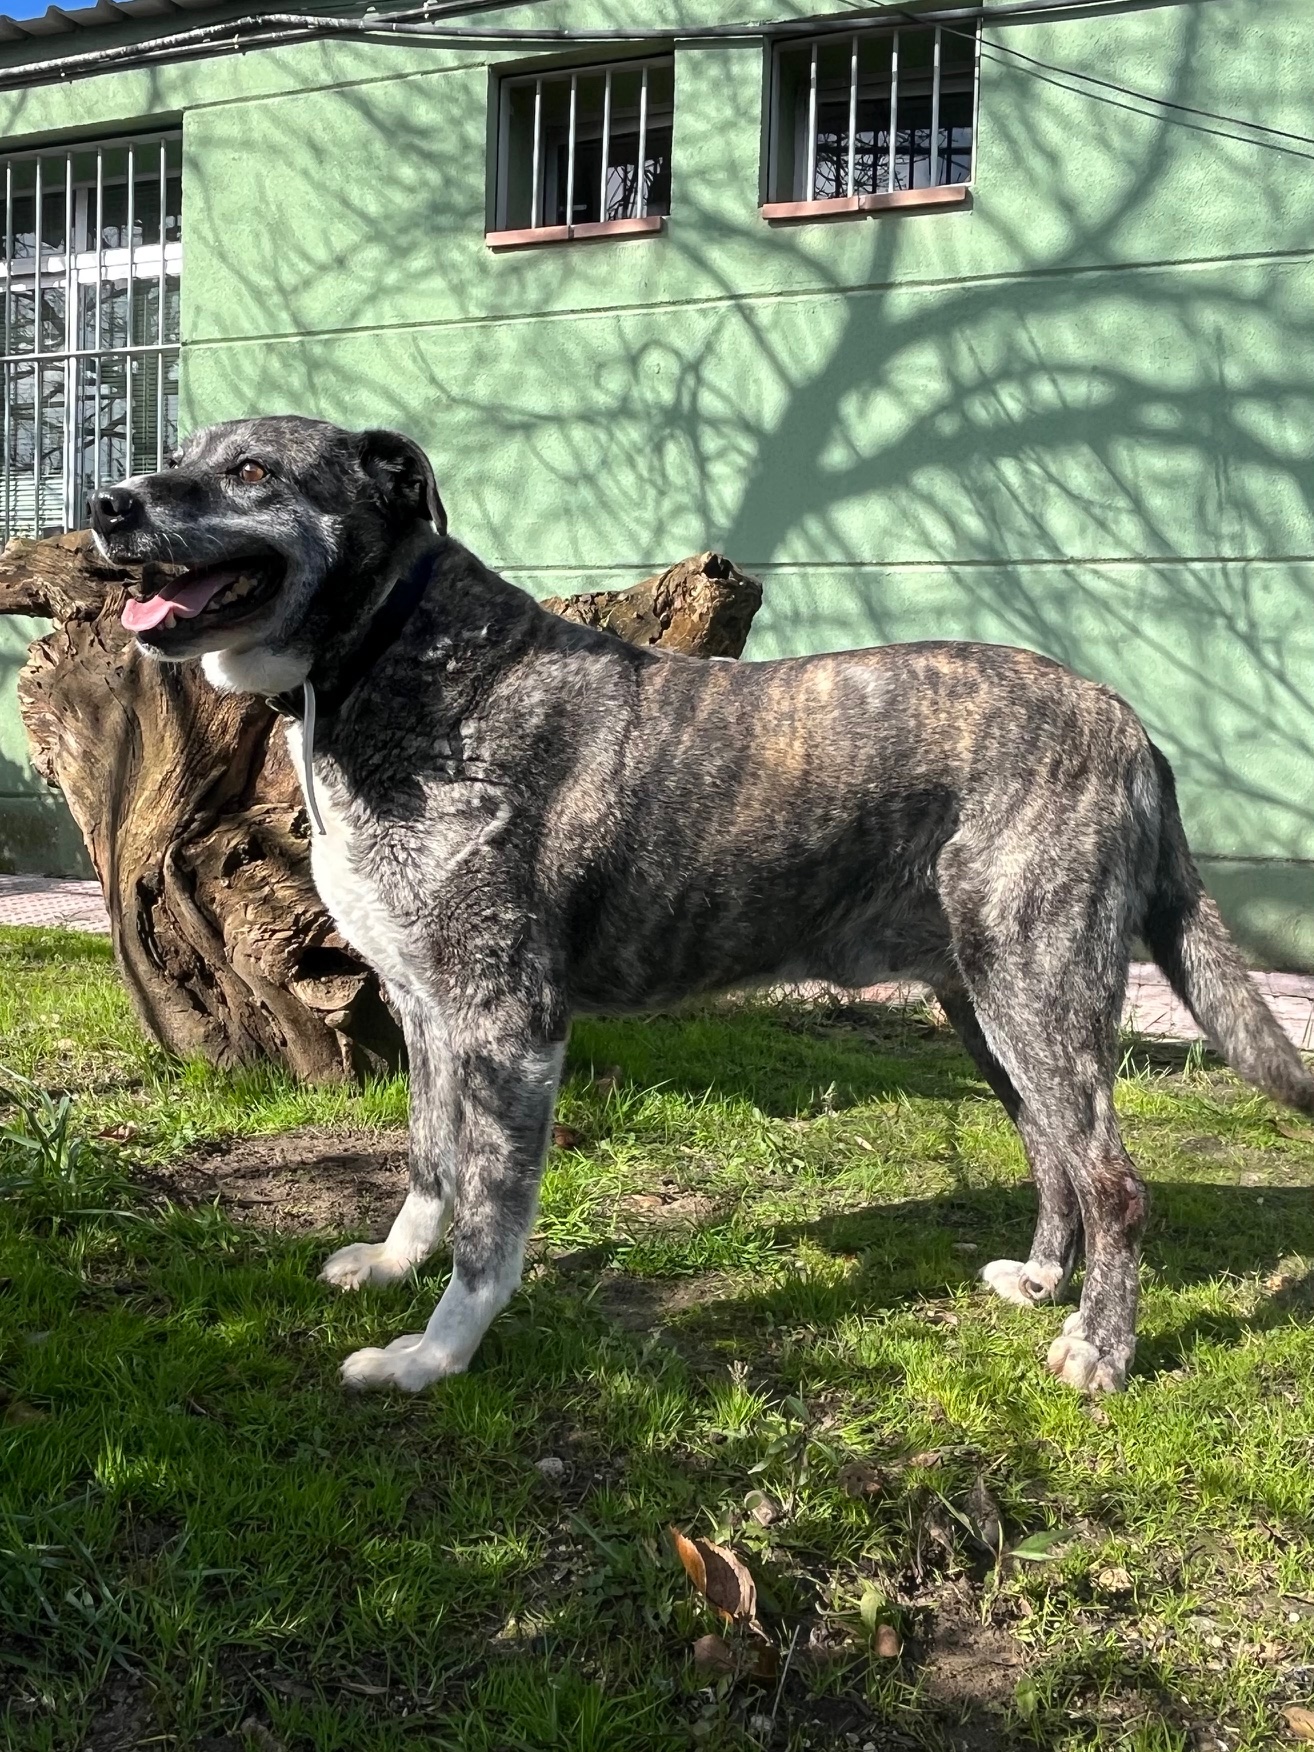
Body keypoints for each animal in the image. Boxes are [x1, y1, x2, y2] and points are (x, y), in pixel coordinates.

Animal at [89, 414, 1314, 1395]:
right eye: (181, 452)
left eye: (251, 470)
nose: (105, 505)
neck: (401, 657)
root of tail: (1129, 723)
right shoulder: (428, 1010)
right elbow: (432, 1165)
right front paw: (394, 1265)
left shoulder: (509, 1028)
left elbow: (490, 1222)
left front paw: (434, 1356)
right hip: (988, 1008)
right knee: (1053, 1155)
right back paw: (1044, 1281)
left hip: (1039, 992)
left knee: (1115, 1182)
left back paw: (1100, 1353)